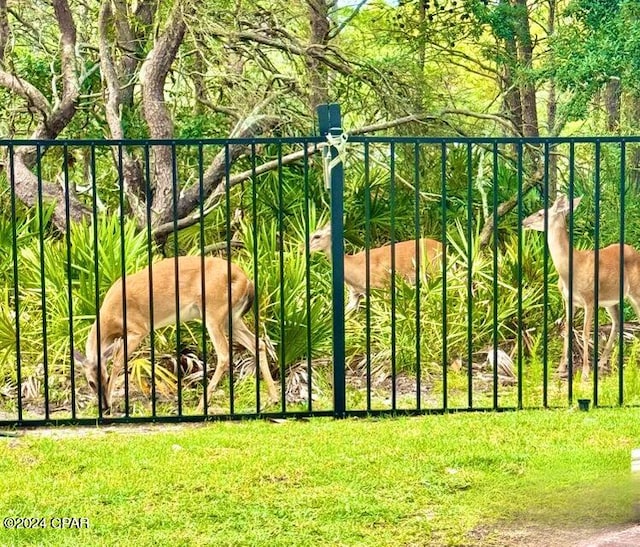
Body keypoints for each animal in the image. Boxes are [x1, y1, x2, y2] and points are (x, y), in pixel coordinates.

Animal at [73, 256, 278, 412]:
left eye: (104, 378)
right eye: (91, 382)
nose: (104, 406)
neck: (110, 319)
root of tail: (246, 280)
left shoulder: (138, 329)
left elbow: (117, 362)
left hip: (214, 312)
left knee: (224, 355)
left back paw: (199, 407)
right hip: (231, 318)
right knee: (258, 343)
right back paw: (273, 398)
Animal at [524, 195, 640, 378]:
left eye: (541, 213)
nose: (523, 222)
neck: (572, 269)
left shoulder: (589, 299)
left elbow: (585, 333)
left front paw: (585, 371)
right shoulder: (568, 300)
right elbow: (566, 329)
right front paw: (561, 367)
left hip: (635, 291)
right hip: (611, 300)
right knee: (617, 322)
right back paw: (602, 362)